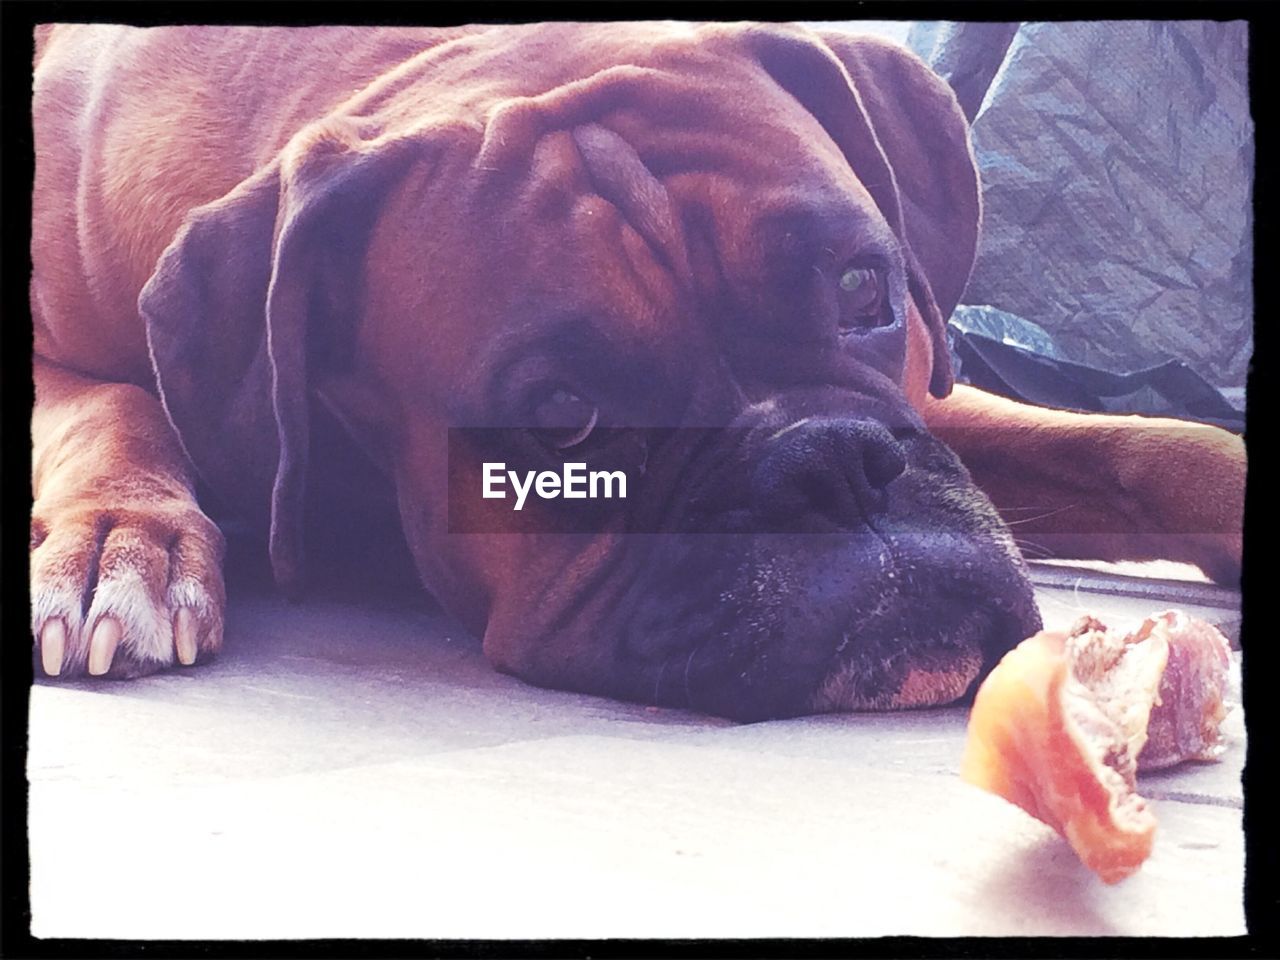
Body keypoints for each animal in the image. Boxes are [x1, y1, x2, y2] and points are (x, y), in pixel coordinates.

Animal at [32, 22, 1249, 721]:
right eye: (562, 418)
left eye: (866, 291)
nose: (831, 464)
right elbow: (113, 402)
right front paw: (125, 538)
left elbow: (1146, 443)